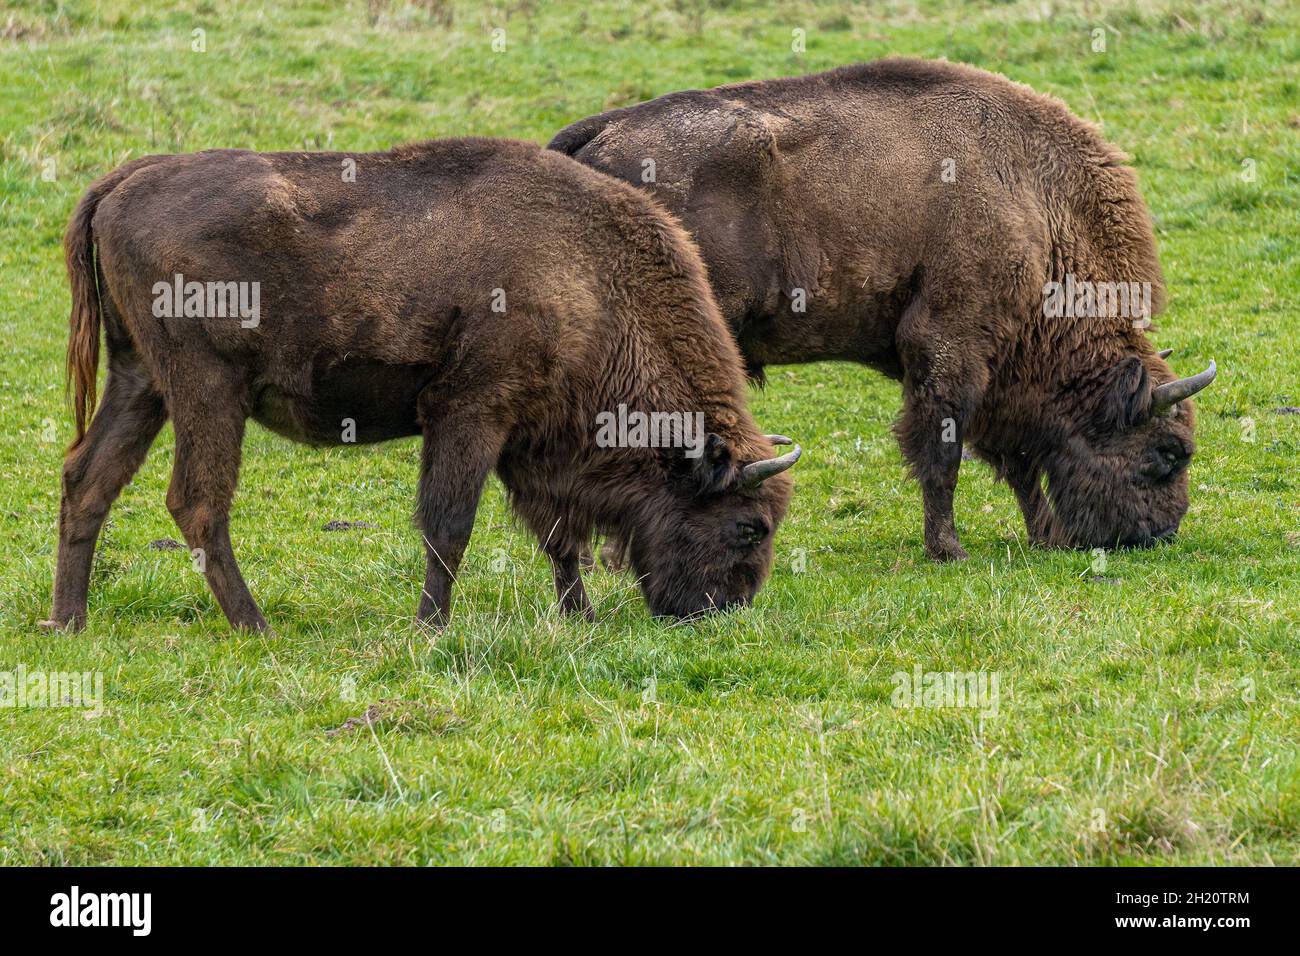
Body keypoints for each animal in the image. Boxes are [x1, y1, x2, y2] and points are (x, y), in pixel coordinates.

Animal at [44, 138, 800, 632]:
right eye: (748, 526)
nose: (720, 613)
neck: (589, 276)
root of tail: (125, 181)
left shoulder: (525, 439)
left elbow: (558, 536)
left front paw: (578, 617)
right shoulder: (470, 415)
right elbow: (449, 525)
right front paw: (431, 626)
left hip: (139, 379)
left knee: (88, 479)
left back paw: (69, 620)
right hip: (206, 388)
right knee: (197, 502)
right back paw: (255, 625)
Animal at [551, 58, 1216, 562]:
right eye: (1167, 453)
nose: (1161, 535)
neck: (1032, 203)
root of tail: (596, 136)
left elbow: (1015, 461)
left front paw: (1042, 536)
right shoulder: (949, 346)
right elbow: (942, 453)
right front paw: (949, 550)